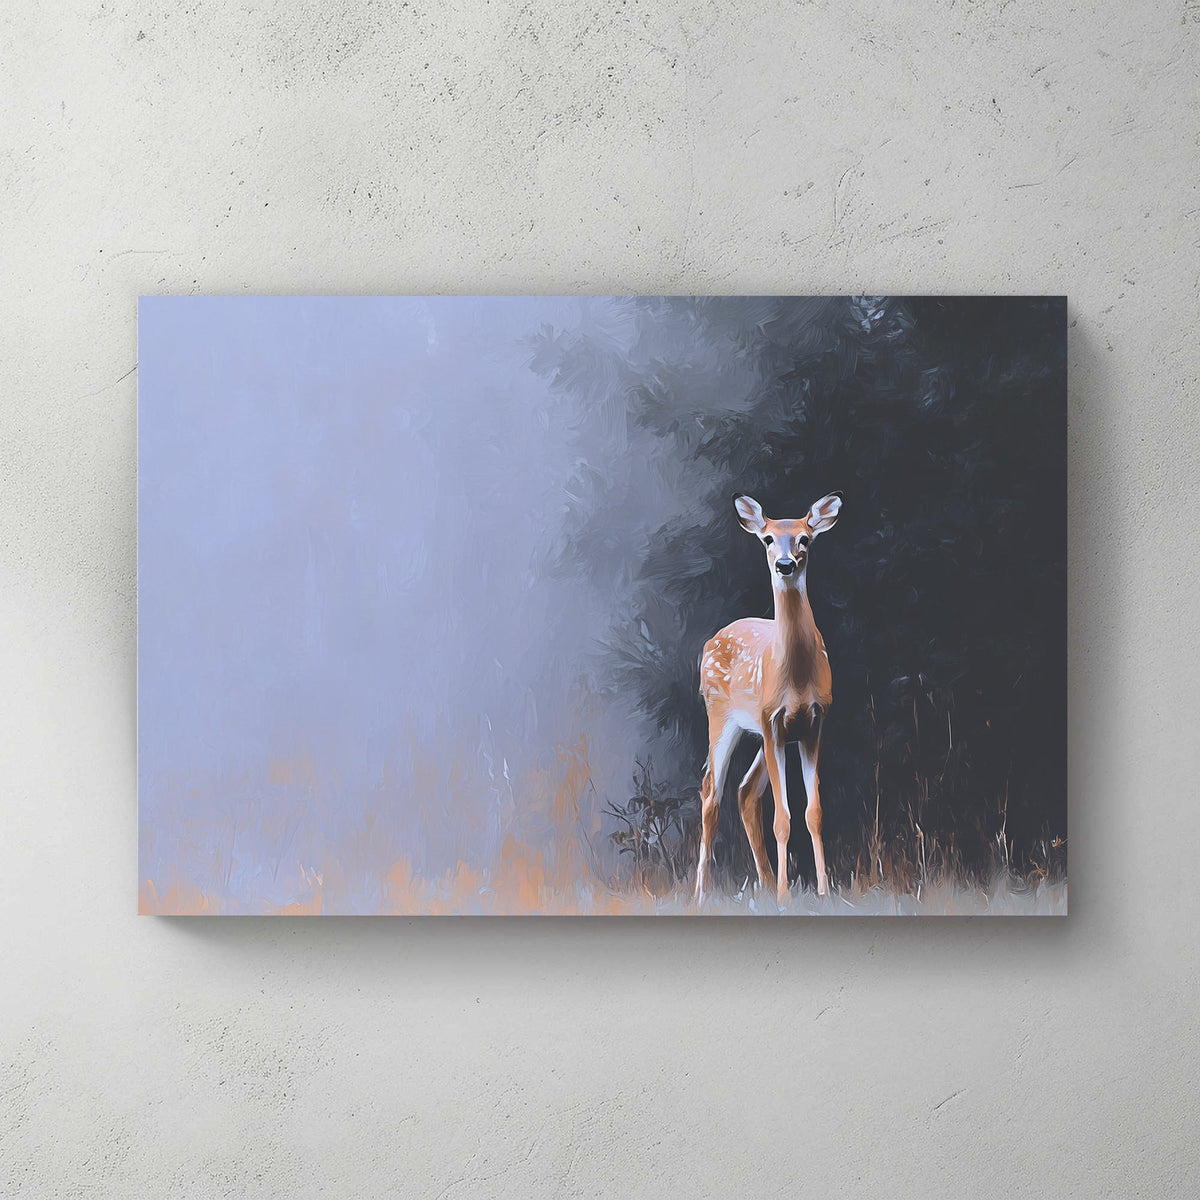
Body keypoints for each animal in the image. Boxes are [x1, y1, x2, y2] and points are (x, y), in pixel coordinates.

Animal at [695, 491, 843, 907]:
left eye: (805, 538)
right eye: (767, 539)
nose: (785, 564)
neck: (796, 679)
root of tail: (711, 640)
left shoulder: (813, 723)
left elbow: (813, 812)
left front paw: (823, 892)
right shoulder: (773, 719)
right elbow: (782, 817)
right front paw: (784, 897)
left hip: (760, 733)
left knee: (745, 792)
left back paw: (762, 881)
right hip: (722, 717)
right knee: (711, 792)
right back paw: (700, 894)